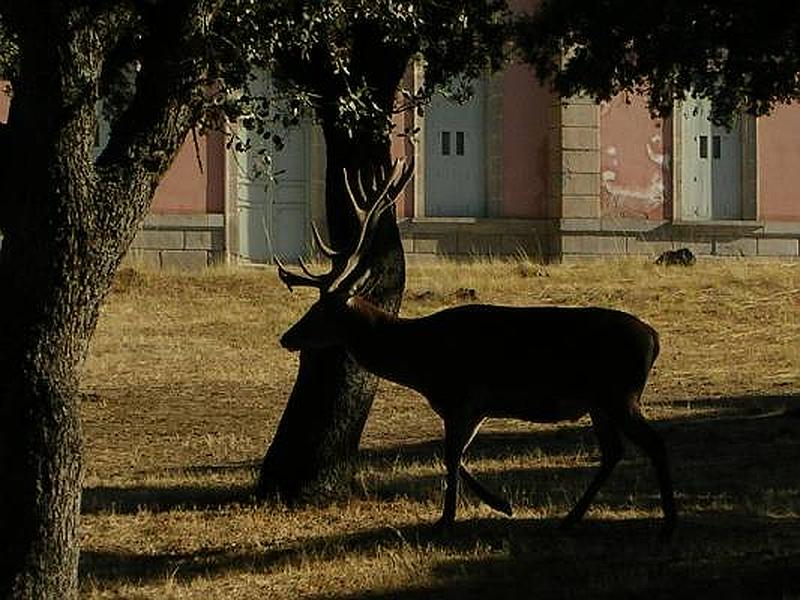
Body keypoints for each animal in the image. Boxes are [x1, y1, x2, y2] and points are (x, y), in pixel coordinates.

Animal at [276, 158, 676, 540]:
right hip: (600, 401)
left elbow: (450, 457)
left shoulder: (461, 397)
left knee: (655, 444)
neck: (421, 364)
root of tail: (654, 338)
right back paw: (569, 520)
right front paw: (500, 505)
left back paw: (665, 527)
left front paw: (448, 520)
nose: (287, 337)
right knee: (614, 451)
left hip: (620, 394)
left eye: (319, 310)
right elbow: (456, 457)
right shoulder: (473, 407)